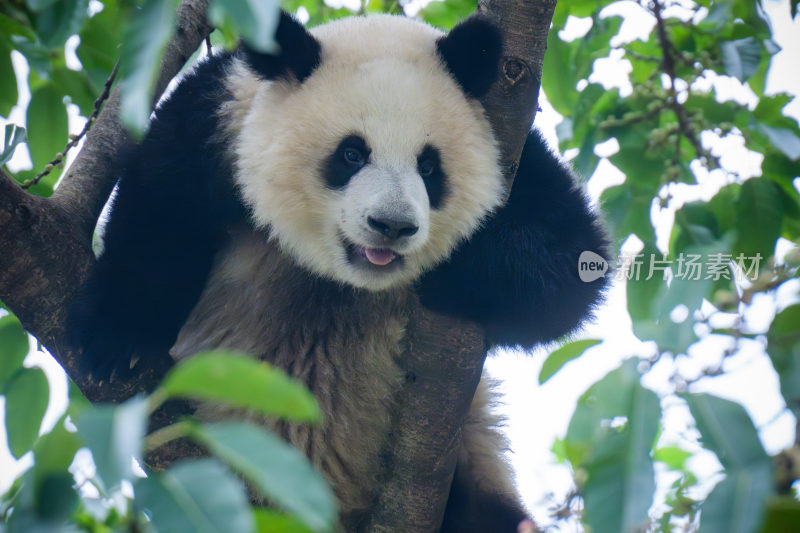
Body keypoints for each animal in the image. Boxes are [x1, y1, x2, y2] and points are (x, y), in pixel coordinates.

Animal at [72, 11, 608, 532]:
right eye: (351, 154)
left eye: (429, 167)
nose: (392, 226)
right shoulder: (219, 121)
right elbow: (159, 219)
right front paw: (122, 344)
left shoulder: (511, 150)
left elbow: (574, 269)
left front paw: (461, 265)